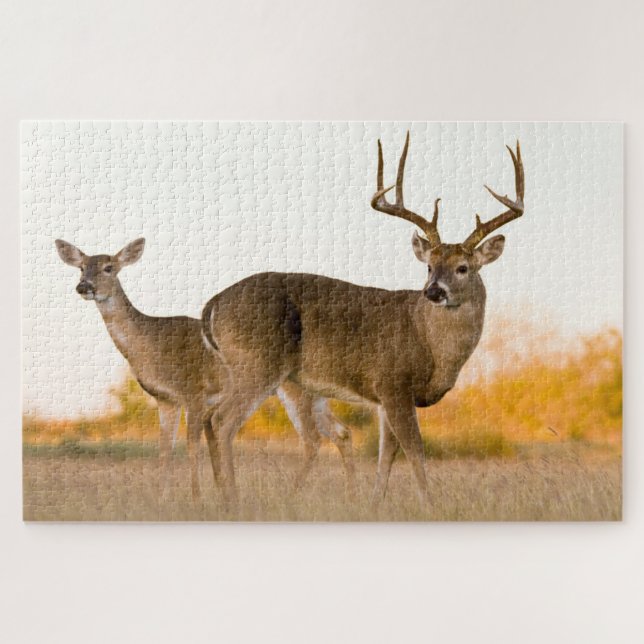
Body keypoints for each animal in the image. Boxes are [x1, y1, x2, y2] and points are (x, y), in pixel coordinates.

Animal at [55, 238, 355, 501]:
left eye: (109, 267)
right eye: (81, 266)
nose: (84, 286)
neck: (149, 343)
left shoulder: (195, 393)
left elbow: (192, 445)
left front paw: (197, 498)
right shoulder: (166, 400)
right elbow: (165, 449)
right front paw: (162, 499)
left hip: (290, 388)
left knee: (314, 438)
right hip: (314, 392)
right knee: (340, 432)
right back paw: (352, 494)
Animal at [201, 134, 525, 508]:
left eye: (463, 268)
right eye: (429, 266)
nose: (433, 291)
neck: (429, 342)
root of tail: (213, 304)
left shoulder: (384, 398)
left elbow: (388, 455)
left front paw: (373, 504)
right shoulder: (393, 382)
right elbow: (415, 451)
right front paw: (429, 505)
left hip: (275, 376)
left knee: (218, 419)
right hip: (258, 363)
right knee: (223, 420)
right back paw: (232, 498)